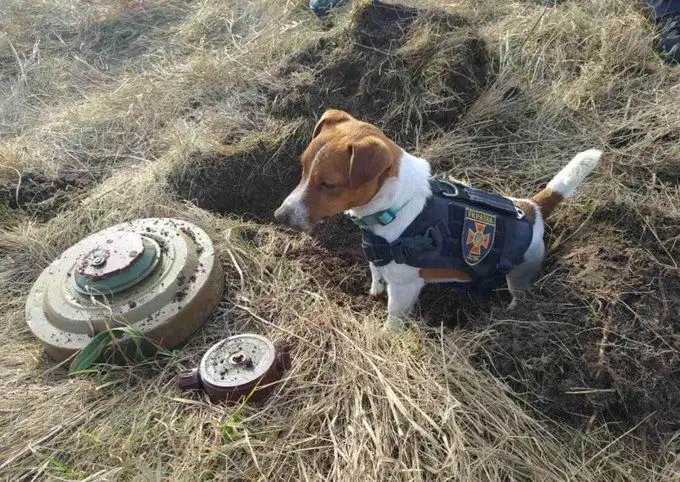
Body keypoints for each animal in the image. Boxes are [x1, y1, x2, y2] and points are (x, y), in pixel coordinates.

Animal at [272, 108, 600, 328]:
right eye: (303, 168)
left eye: (328, 184)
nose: (279, 216)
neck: (396, 206)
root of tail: (531, 207)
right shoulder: (377, 256)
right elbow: (376, 273)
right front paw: (374, 289)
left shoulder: (404, 289)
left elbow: (393, 318)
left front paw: (386, 336)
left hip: (521, 273)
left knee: (519, 293)